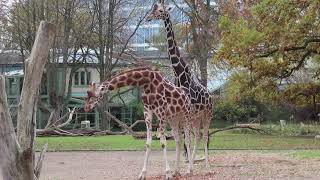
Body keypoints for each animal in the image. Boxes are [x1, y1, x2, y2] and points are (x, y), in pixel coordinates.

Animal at [146, 0, 214, 167]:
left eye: (161, 10)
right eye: (153, 8)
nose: (148, 17)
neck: (180, 74)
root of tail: (210, 96)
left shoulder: (187, 113)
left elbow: (185, 140)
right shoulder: (181, 114)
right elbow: (182, 139)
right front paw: (183, 163)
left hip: (207, 114)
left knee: (205, 136)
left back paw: (207, 164)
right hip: (196, 117)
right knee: (198, 135)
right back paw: (194, 160)